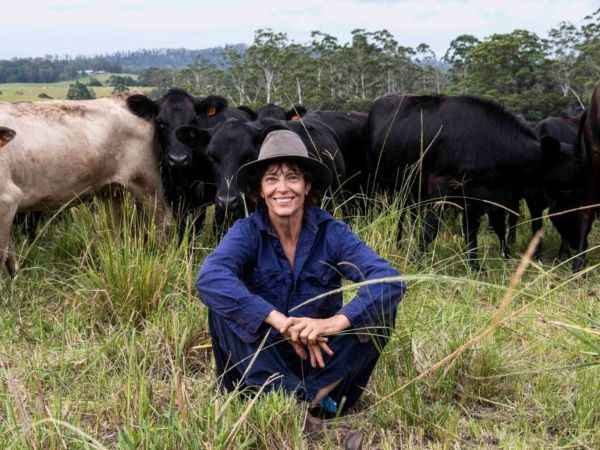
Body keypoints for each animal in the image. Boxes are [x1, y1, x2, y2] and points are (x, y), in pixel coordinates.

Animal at [127, 89, 252, 236]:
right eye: (160, 122)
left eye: (193, 121)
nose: (178, 159)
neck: (182, 177)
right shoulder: (173, 200)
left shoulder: (200, 202)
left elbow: (197, 229)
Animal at [366, 91, 580, 268]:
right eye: (577, 166)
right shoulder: (440, 187)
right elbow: (431, 229)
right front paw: (417, 261)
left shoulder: (482, 197)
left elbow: (480, 230)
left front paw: (484, 263)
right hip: (385, 186)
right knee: (397, 216)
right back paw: (398, 245)